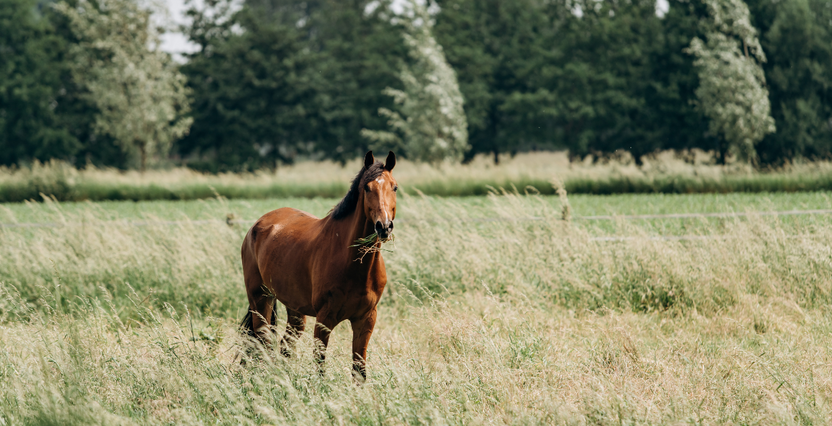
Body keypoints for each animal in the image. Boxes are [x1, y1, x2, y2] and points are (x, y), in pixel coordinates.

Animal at [239, 151, 397, 381]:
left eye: (394, 187)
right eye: (367, 188)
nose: (384, 226)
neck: (353, 264)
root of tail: (257, 225)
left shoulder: (366, 319)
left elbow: (359, 370)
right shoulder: (324, 319)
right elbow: (320, 365)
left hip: (295, 311)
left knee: (284, 347)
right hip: (260, 299)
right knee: (263, 343)